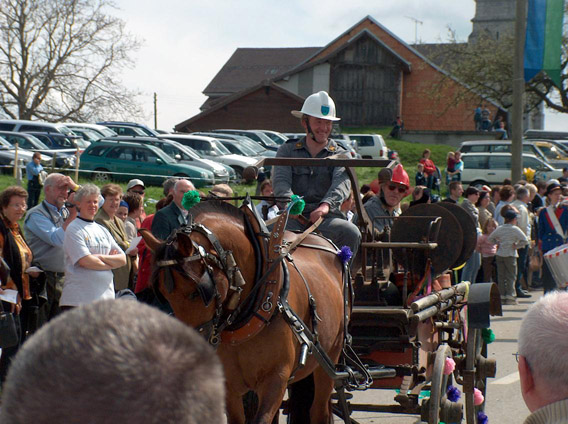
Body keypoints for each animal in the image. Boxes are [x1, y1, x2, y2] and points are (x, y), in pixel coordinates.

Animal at [140, 200, 348, 424]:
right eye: (163, 294)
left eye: (196, 292)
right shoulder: (229, 386)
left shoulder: (276, 378)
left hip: (331, 355)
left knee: (319, 409)